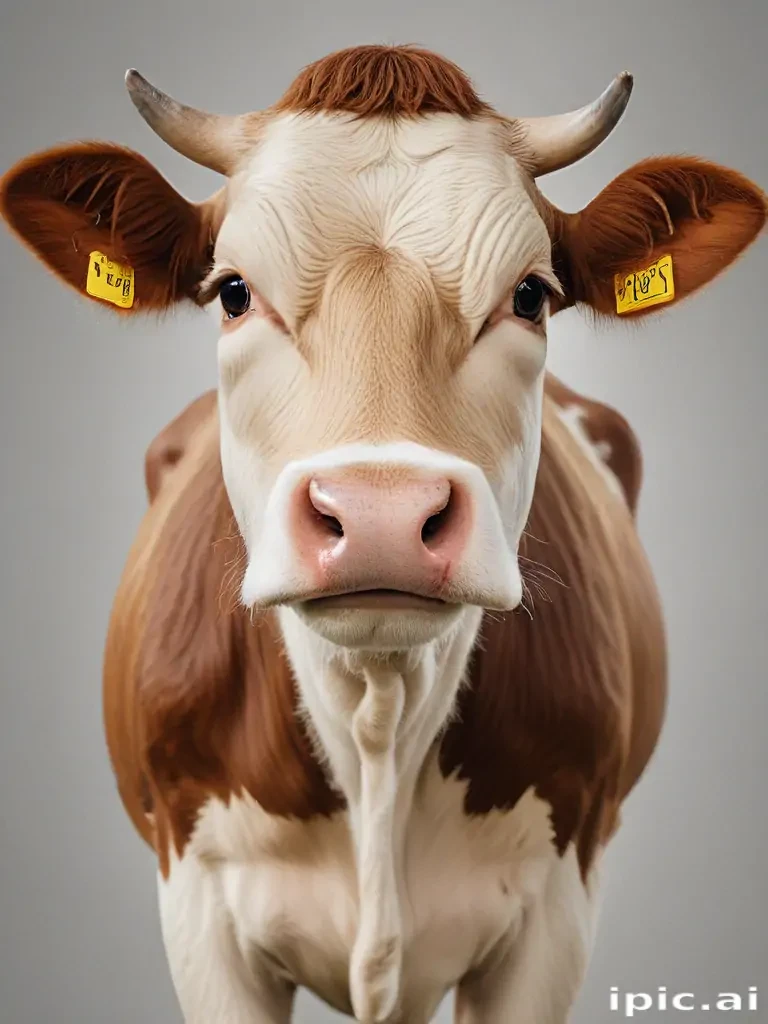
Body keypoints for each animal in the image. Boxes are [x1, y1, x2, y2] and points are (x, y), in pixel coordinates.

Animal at [1, 44, 765, 1024]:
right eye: (233, 292)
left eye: (530, 296)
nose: (379, 516)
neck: (379, 716)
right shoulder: (197, 904)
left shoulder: (558, 910)